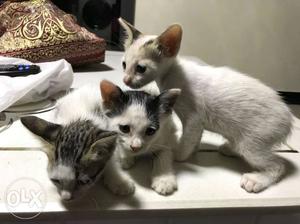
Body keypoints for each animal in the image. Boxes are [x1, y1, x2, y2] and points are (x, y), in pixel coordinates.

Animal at [118, 18, 292, 192]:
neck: (171, 74)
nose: (125, 80)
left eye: (141, 68)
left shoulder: (194, 118)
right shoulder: (198, 123)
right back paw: (229, 148)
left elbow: (186, 140)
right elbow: (195, 138)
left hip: (254, 142)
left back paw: (256, 180)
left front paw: (178, 153)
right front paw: (193, 150)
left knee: (278, 165)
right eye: (124, 64)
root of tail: (289, 117)